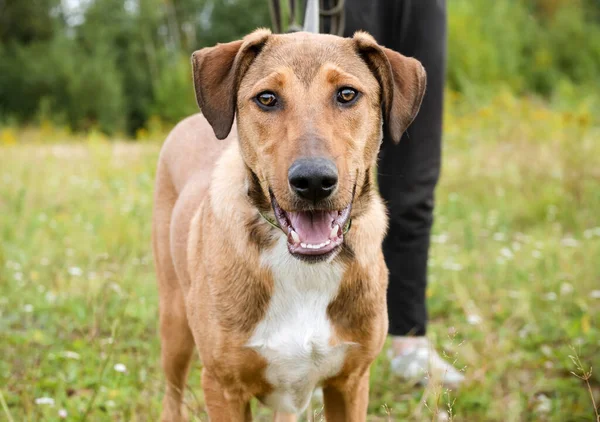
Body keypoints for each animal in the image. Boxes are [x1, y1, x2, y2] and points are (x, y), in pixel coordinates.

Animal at [155, 28, 426, 420]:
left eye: (347, 94)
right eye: (267, 98)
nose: (313, 181)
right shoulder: (223, 387)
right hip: (174, 323)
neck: (303, 271)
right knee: (172, 394)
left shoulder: (350, 382)